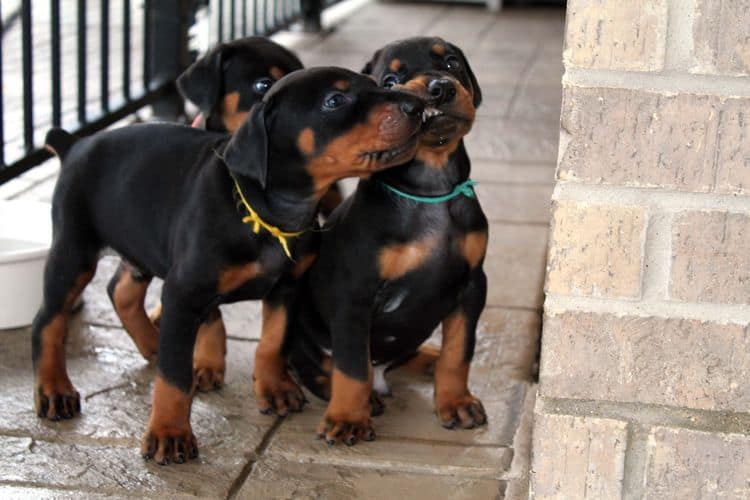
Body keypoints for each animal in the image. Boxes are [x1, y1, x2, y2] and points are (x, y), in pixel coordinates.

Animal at [32, 66, 426, 464]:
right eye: (335, 100)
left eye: (380, 84)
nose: (417, 106)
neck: (269, 214)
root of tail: (75, 144)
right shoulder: (184, 292)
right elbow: (174, 377)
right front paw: (169, 433)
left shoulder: (287, 289)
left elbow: (273, 342)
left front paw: (274, 387)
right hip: (74, 252)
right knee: (48, 321)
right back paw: (54, 389)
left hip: (140, 243)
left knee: (121, 291)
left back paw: (154, 344)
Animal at [288, 39, 488, 446]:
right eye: (390, 81)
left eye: (451, 62)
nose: (439, 88)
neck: (432, 188)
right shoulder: (354, 292)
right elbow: (351, 365)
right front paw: (347, 418)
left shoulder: (473, 283)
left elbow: (459, 351)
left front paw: (456, 402)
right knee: (313, 364)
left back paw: (427, 357)